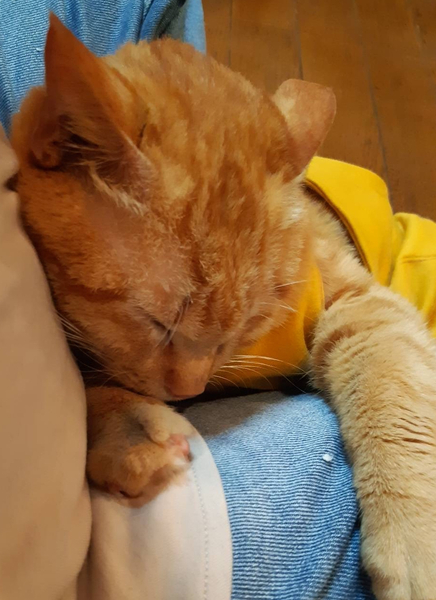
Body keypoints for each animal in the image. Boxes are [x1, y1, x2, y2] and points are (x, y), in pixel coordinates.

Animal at [10, 14, 436, 600]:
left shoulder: (359, 303)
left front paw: (414, 538)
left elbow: (393, 390)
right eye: (156, 322)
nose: (189, 391)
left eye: (246, 326)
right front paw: (127, 432)